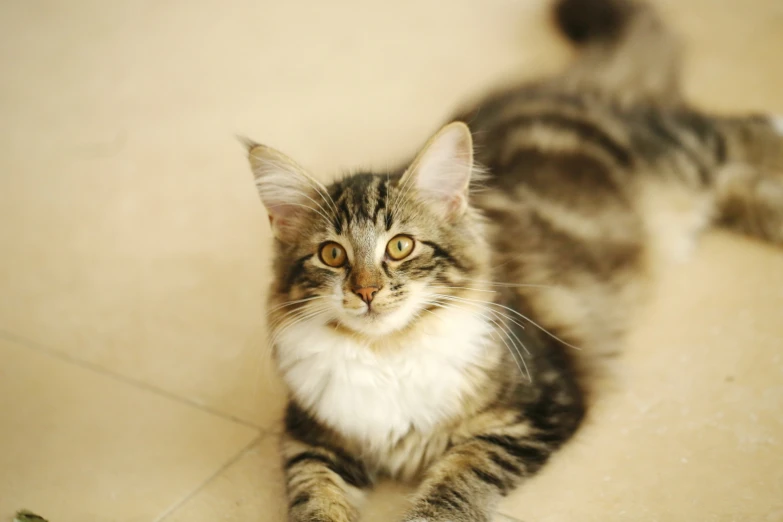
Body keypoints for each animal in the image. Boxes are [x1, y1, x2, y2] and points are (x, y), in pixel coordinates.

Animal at [243, 1, 783, 520]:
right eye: (332, 254)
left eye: (400, 246)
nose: (367, 290)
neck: (389, 354)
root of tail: (567, 86)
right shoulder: (310, 439)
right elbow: (313, 498)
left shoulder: (535, 410)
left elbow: (455, 488)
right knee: (737, 186)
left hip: (682, 156)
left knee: (735, 129)